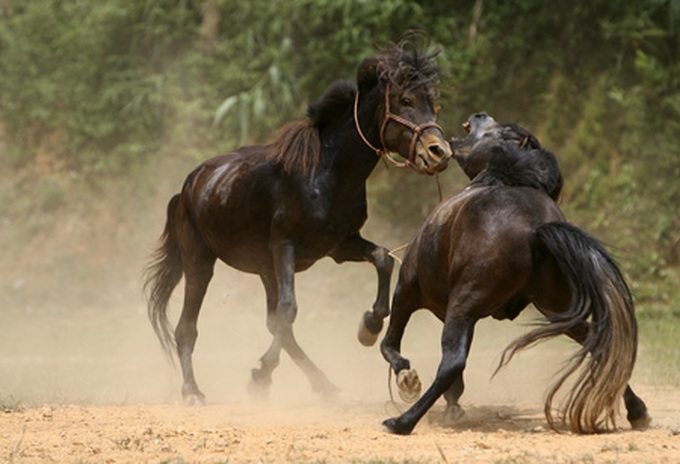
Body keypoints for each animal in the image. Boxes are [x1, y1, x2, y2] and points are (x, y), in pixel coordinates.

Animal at [143, 37, 452, 405]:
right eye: (405, 100)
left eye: (433, 104)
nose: (439, 152)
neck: (327, 172)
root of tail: (187, 188)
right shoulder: (285, 246)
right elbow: (289, 310)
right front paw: (260, 374)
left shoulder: (339, 245)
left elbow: (383, 259)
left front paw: (369, 327)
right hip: (200, 262)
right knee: (187, 327)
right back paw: (194, 391)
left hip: (264, 270)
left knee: (275, 324)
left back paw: (325, 385)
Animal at [378, 121, 650, 435]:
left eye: (499, 129)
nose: (477, 115)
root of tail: (535, 229)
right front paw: (452, 408)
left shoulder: (408, 289)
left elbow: (390, 344)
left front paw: (407, 380)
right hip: (555, 306)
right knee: (599, 342)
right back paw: (637, 411)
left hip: (464, 306)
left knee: (452, 362)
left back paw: (402, 422)